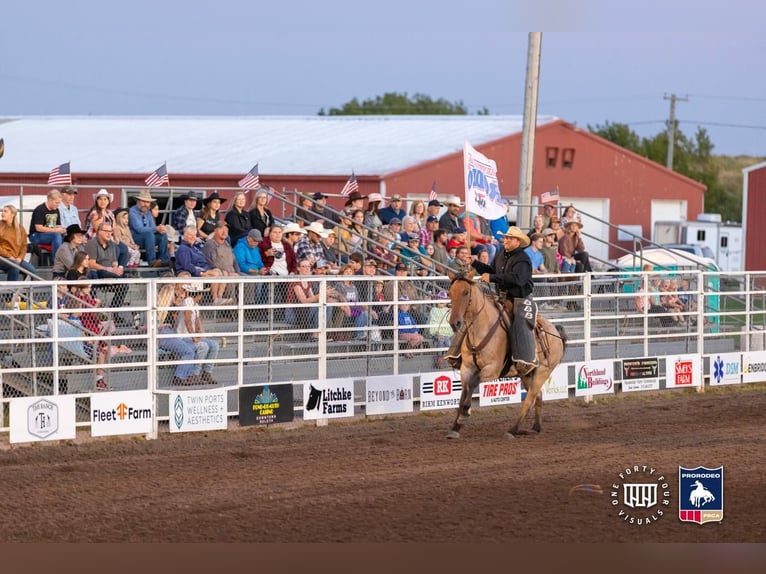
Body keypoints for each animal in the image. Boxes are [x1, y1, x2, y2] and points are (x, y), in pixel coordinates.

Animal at [448, 270, 568, 440]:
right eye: (450, 293)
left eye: (465, 292)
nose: (455, 323)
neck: (481, 328)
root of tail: (555, 332)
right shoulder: (466, 368)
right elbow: (464, 390)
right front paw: (456, 426)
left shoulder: (492, 369)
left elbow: (473, 383)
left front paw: (466, 411)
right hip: (527, 374)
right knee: (537, 397)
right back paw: (536, 427)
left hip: (542, 373)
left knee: (528, 401)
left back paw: (513, 430)